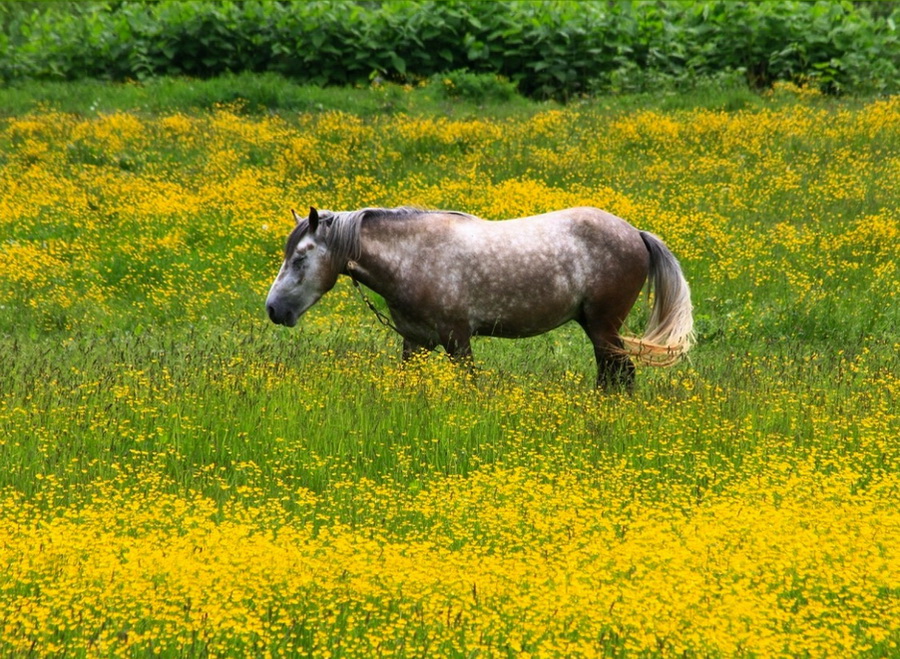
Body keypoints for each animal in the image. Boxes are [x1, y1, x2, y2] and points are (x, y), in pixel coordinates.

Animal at [264, 206, 692, 390]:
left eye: (300, 256)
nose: (273, 309)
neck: (415, 256)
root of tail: (635, 233)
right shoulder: (415, 342)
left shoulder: (458, 340)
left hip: (604, 327)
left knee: (621, 375)